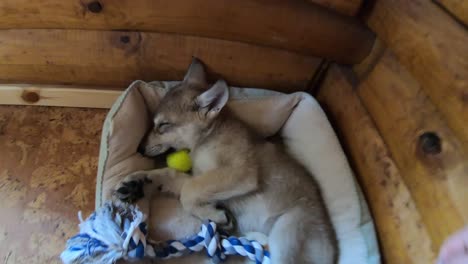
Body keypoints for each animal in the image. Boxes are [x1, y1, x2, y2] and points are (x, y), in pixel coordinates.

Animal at [115, 58, 338, 262]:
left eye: (163, 125)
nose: (139, 148)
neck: (209, 136)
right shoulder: (201, 177)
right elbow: (172, 177)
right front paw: (137, 181)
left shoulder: (240, 173)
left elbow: (187, 194)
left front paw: (215, 216)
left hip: (286, 234)